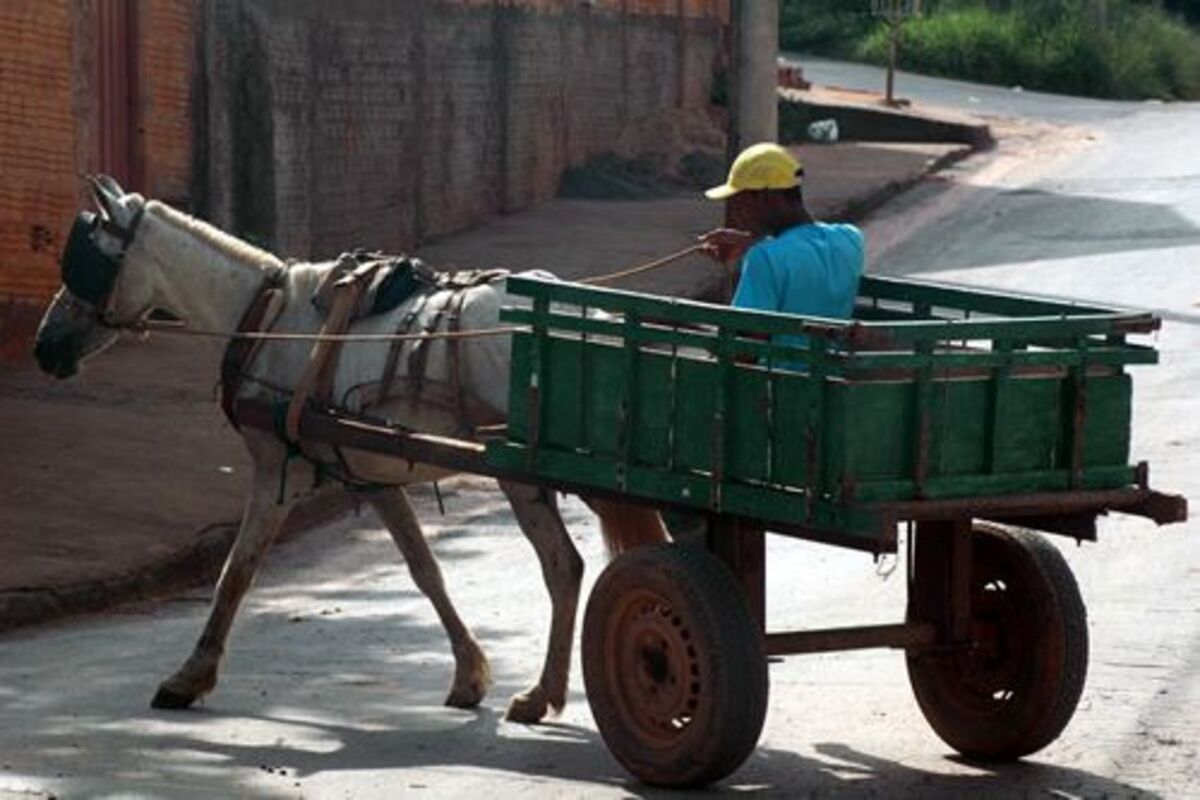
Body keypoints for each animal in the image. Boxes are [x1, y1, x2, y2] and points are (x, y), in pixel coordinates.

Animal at [32, 176, 667, 724]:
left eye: (88, 263)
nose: (44, 345)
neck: (264, 318)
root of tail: (586, 315)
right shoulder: (372, 476)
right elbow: (425, 571)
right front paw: (468, 672)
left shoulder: (276, 470)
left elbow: (235, 573)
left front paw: (190, 676)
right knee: (573, 562)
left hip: (529, 473)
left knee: (569, 563)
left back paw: (552, 690)